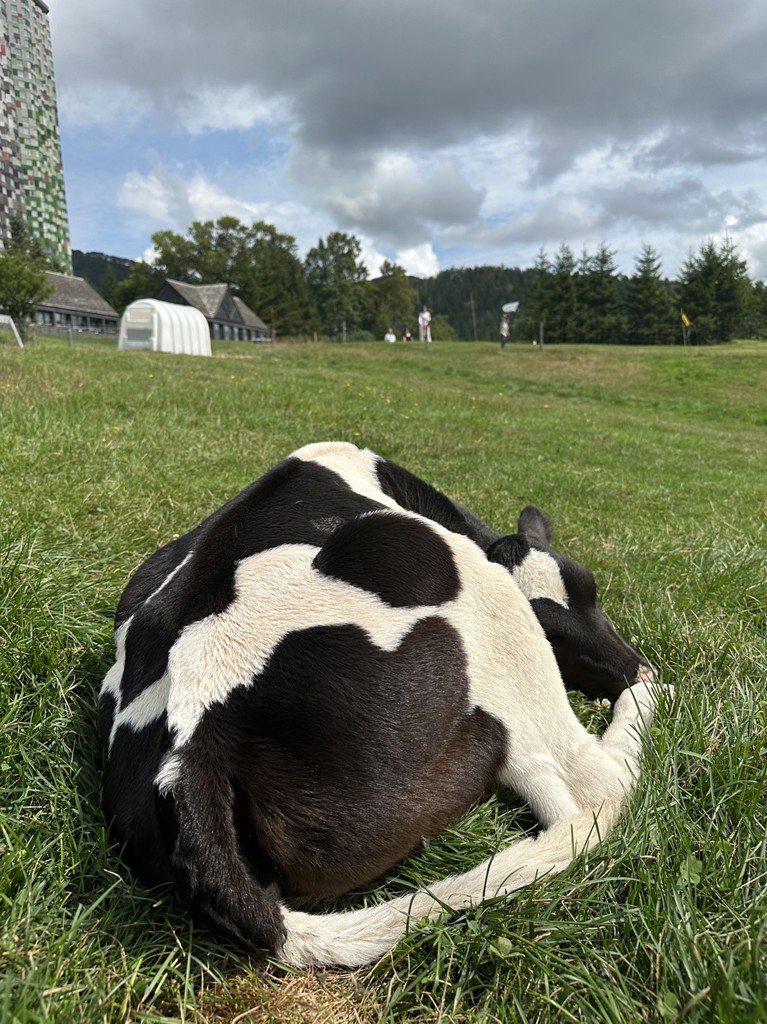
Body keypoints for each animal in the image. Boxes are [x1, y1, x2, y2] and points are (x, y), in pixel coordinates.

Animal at [100, 440, 663, 966]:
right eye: (554, 631)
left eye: (593, 589)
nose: (635, 665)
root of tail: (187, 754)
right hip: (439, 566)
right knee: (594, 789)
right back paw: (644, 702)